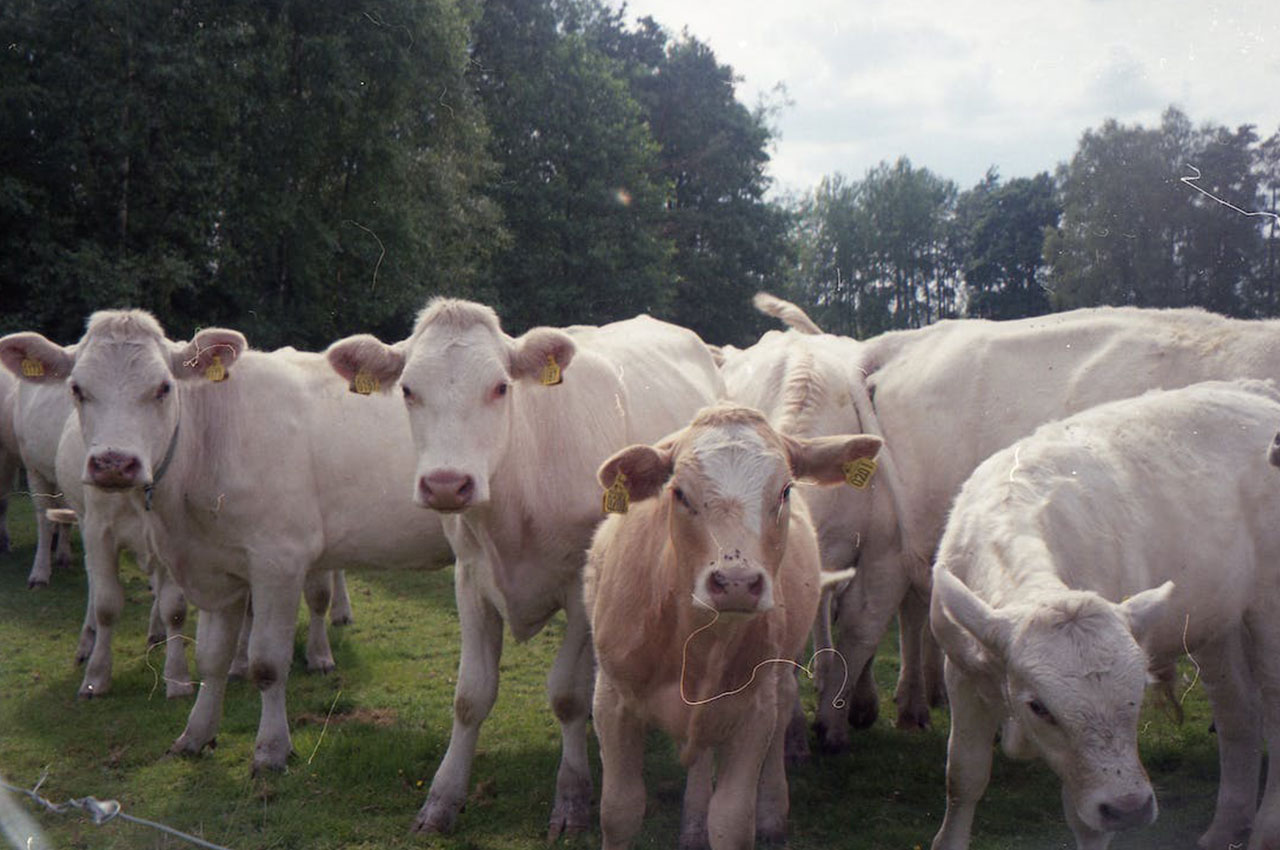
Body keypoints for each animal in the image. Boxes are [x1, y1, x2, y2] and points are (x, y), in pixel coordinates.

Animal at [0, 313, 453, 778]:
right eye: (77, 389)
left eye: (163, 388)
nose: (113, 463)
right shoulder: (215, 566)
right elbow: (211, 657)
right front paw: (196, 733)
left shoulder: (279, 562)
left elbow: (268, 663)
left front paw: (271, 750)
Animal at [325, 300, 727, 834]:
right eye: (408, 390)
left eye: (500, 387)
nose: (447, 484)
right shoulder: (470, 580)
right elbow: (470, 696)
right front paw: (442, 799)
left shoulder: (579, 586)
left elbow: (567, 695)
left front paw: (572, 797)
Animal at [586, 407, 880, 850]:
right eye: (679, 493)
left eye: (785, 491)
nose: (737, 582)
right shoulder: (612, 700)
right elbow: (619, 811)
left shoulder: (752, 714)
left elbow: (731, 819)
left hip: (777, 676)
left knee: (781, 711)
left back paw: (772, 812)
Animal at [926, 381, 1280, 850]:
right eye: (1039, 707)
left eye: (1138, 692)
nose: (1129, 807)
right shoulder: (960, 670)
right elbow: (963, 777)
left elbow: (1087, 824)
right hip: (1216, 619)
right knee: (1238, 710)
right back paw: (1224, 827)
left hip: (1270, 609)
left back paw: (1265, 830)